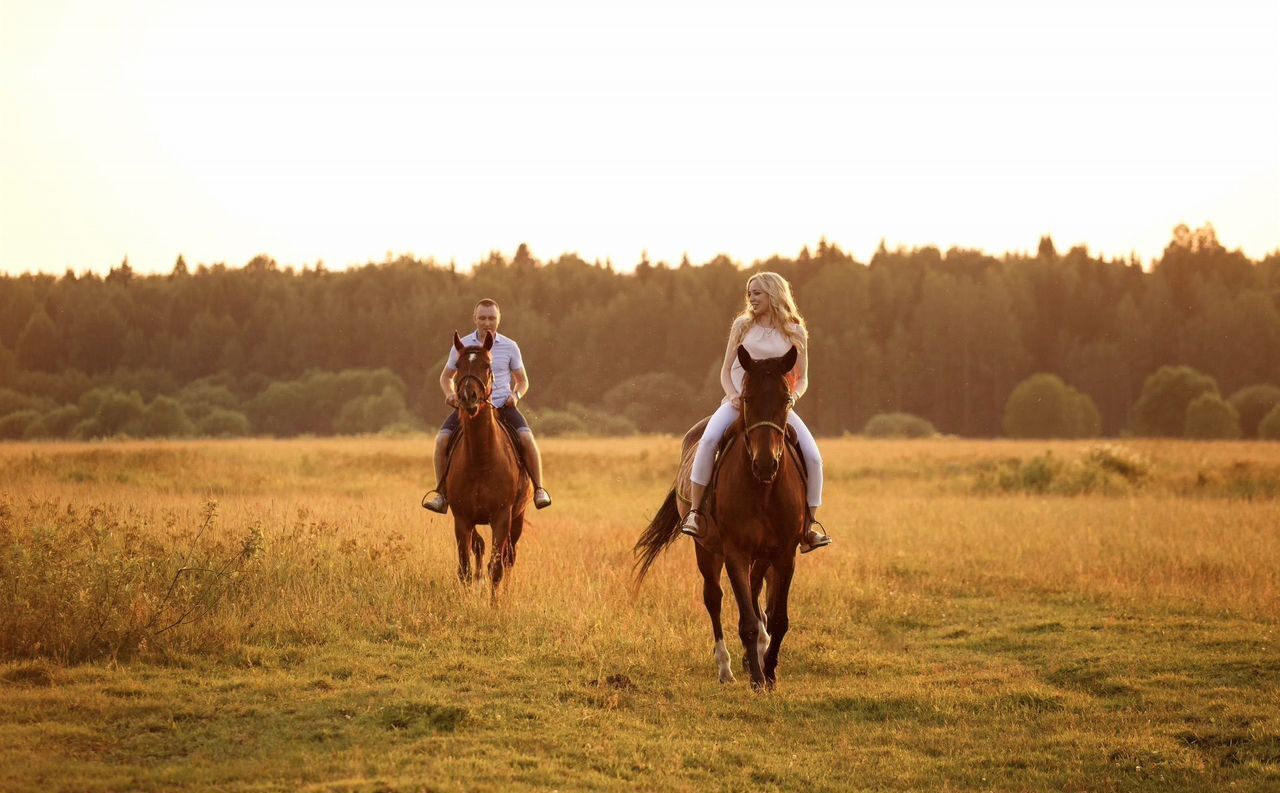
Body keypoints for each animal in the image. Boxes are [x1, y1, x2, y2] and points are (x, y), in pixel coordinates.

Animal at [445, 329, 529, 593]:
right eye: (458, 365)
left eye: (487, 365)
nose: (468, 397)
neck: (480, 460)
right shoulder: (462, 518)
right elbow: (464, 566)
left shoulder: (501, 517)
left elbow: (497, 568)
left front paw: (495, 601)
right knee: (480, 548)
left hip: (517, 518)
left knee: (510, 556)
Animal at [634, 345, 803, 685]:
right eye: (747, 398)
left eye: (786, 400)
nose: (766, 464)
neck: (763, 489)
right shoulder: (734, 551)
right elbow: (747, 619)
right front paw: (757, 679)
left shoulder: (784, 553)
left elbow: (778, 617)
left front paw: (769, 670)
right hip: (706, 549)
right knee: (714, 597)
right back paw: (725, 668)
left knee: (755, 591)